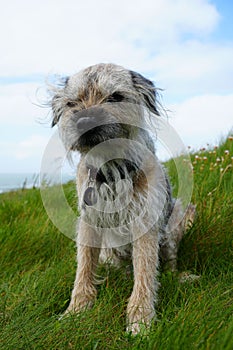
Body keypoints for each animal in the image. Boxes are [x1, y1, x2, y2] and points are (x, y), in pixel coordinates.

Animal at [50, 63, 195, 334]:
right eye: (72, 103)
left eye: (115, 97)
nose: (84, 120)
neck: (111, 168)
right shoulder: (88, 221)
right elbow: (84, 268)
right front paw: (76, 310)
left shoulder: (146, 222)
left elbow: (146, 271)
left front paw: (140, 320)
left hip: (175, 220)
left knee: (168, 262)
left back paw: (180, 276)